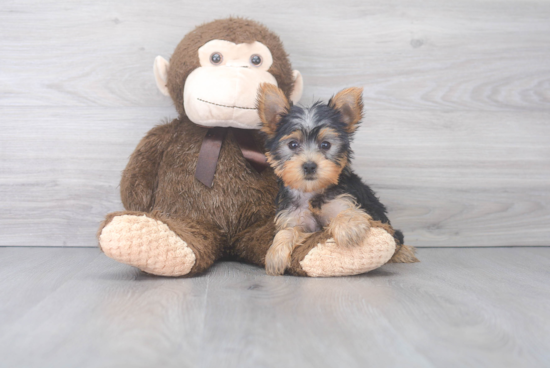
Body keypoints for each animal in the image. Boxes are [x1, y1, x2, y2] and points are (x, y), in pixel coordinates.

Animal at [256, 82, 406, 274]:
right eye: (293, 144)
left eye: (326, 145)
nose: (309, 166)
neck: (311, 192)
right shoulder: (293, 217)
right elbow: (287, 231)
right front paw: (275, 254)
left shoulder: (344, 200)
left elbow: (346, 213)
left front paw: (348, 228)